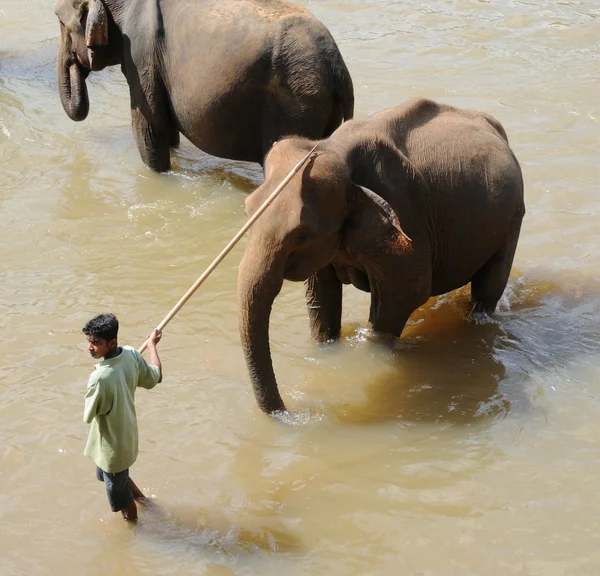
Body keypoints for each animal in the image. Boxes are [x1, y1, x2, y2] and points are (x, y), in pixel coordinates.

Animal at [52, 0, 352, 171]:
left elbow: (148, 127)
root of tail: (339, 68)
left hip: (297, 103)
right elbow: (166, 127)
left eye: (60, 22)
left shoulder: (140, 52)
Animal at [237, 97, 524, 412]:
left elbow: (406, 293)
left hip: (512, 218)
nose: (287, 410)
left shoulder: (407, 214)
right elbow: (322, 296)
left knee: (489, 285)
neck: (333, 147)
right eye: (247, 211)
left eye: (302, 234)